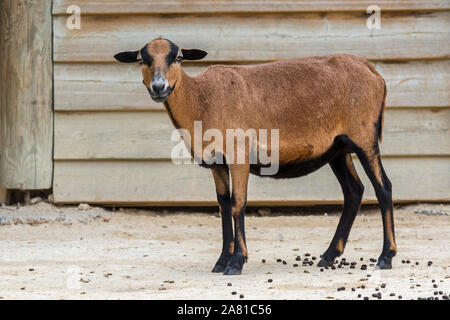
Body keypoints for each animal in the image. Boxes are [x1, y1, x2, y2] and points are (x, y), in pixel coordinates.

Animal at [114, 38, 396, 276]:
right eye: (141, 60)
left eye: (179, 58)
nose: (158, 87)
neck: (201, 100)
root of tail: (373, 71)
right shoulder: (217, 163)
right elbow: (223, 204)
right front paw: (221, 261)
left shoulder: (238, 156)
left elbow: (238, 204)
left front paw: (236, 262)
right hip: (336, 147)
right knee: (354, 191)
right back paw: (328, 256)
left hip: (364, 137)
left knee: (383, 187)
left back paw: (386, 257)